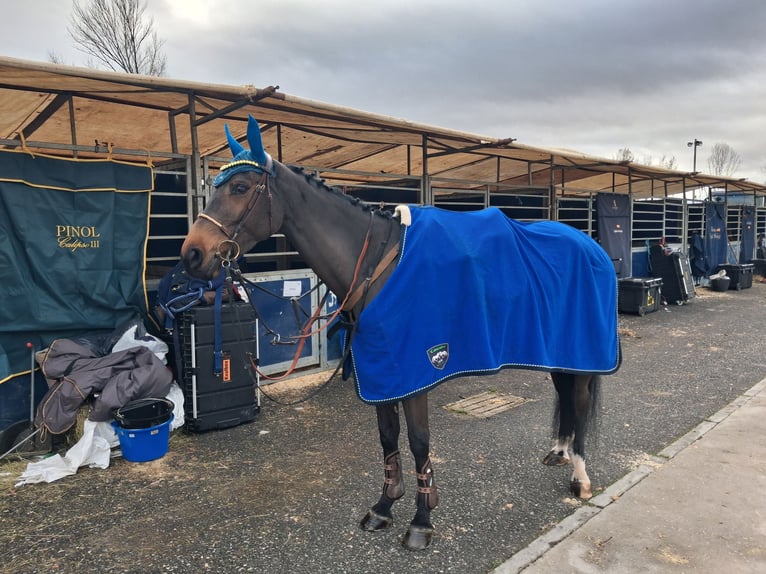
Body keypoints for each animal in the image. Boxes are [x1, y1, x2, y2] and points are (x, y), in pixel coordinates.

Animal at [181, 115, 621, 551]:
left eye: (239, 187)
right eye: (216, 185)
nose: (191, 255)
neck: (379, 264)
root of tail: (591, 246)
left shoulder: (416, 373)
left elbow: (419, 441)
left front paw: (422, 521)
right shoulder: (383, 372)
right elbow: (388, 438)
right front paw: (384, 506)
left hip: (583, 356)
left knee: (579, 404)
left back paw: (580, 476)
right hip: (559, 353)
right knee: (565, 396)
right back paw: (559, 451)